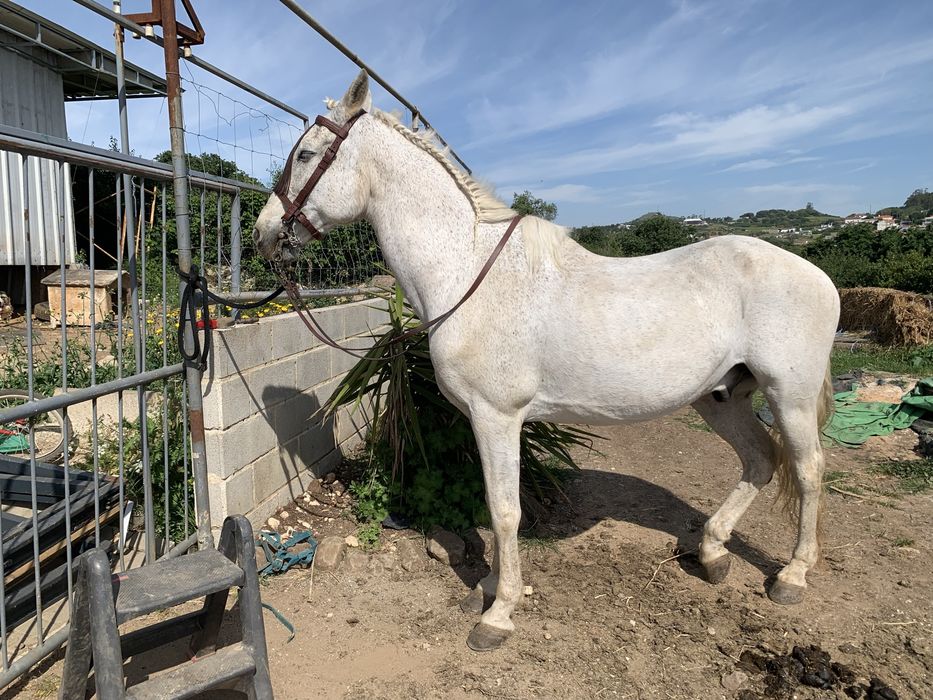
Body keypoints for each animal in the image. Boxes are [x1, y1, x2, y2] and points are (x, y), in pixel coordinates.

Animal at [253, 70, 840, 652]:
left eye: (306, 154)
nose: (263, 232)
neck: (467, 271)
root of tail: (817, 275)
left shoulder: (497, 416)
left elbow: (504, 511)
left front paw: (498, 613)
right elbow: (495, 508)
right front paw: (488, 589)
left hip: (788, 395)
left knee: (808, 470)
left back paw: (791, 576)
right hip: (720, 398)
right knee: (760, 461)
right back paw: (713, 552)